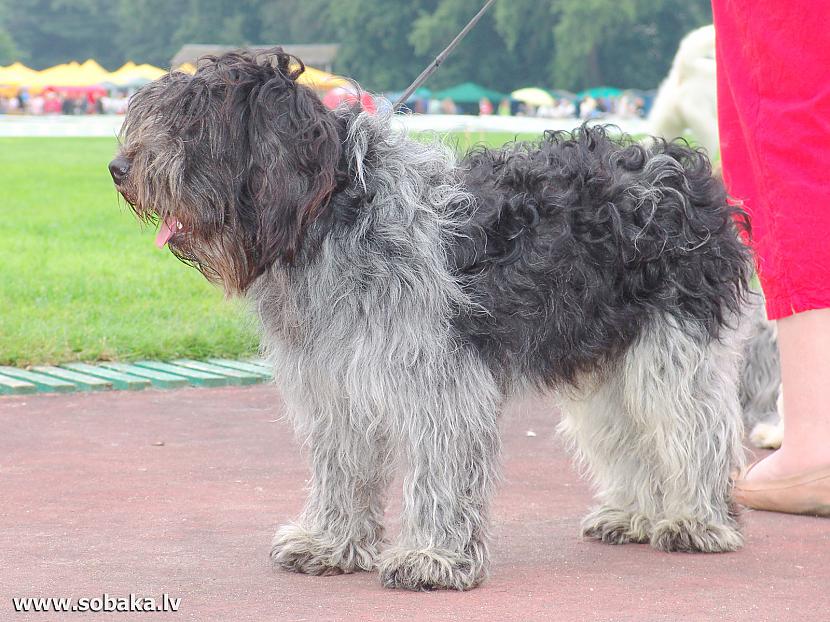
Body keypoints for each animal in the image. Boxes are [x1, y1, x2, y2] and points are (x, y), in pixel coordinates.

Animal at [112, 51, 760, 592]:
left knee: (696, 427)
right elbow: (341, 468)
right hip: (603, 359)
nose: (118, 167)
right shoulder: (332, 384)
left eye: (196, 125)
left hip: (670, 350)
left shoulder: (440, 384)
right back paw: (636, 514)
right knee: (629, 434)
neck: (340, 217)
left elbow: (441, 473)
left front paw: (433, 558)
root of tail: (681, 167)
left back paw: (696, 520)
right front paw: (331, 543)